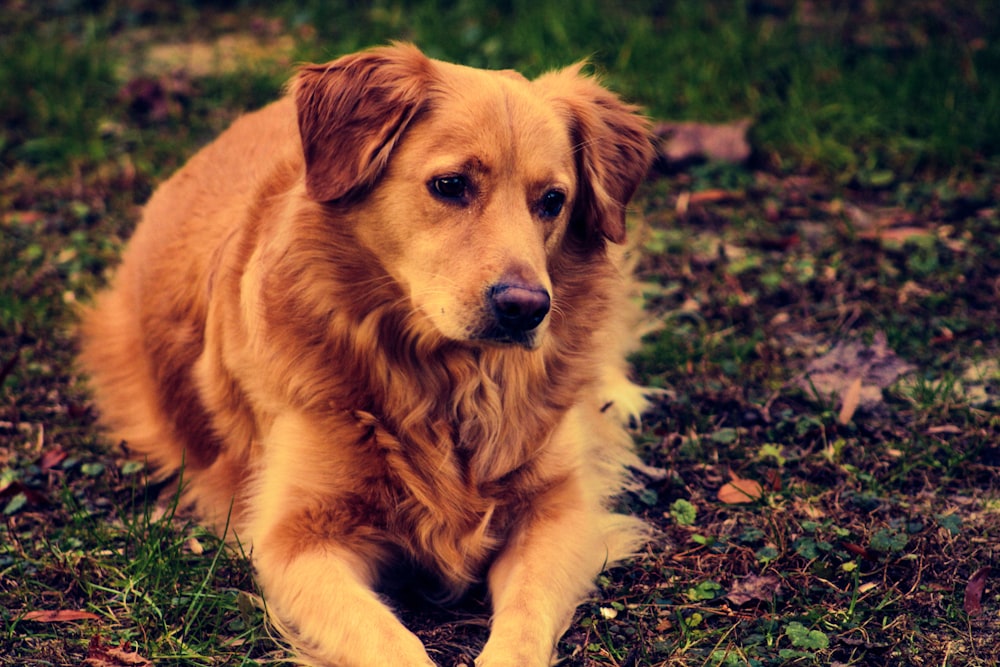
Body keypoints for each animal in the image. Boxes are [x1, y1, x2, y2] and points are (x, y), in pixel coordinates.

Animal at [80, 43, 656, 667]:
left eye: (553, 201)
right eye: (450, 185)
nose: (526, 308)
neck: (443, 381)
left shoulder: (558, 507)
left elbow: (525, 620)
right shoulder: (297, 539)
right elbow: (388, 639)